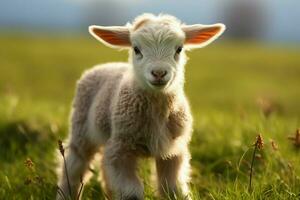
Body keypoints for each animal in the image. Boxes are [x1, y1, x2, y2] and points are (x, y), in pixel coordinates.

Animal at [57, 13, 224, 199]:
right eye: (136, 49)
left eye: (179, 49)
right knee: (74, 166)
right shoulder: (121, 150)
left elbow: (172, 188)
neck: (157, 113)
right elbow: (131, 192)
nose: (159, 73)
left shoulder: (173, 151)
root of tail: (107, 65)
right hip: (81, 129)